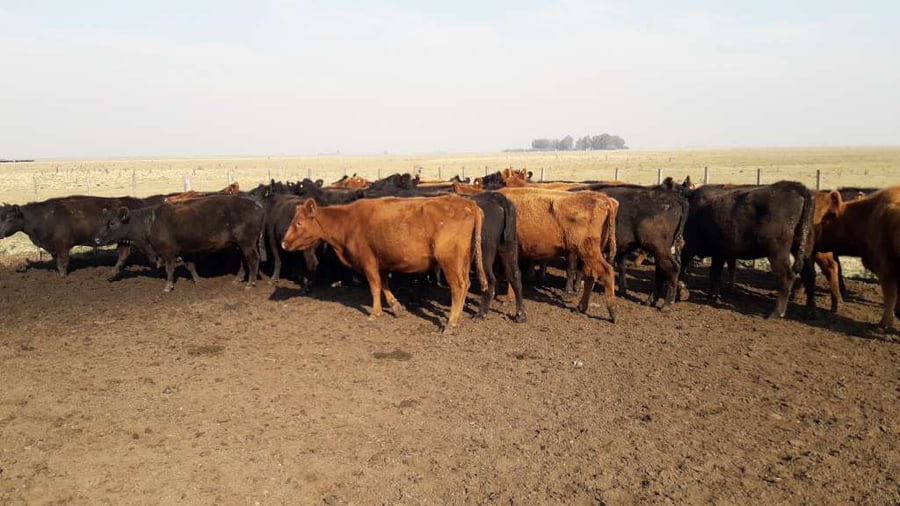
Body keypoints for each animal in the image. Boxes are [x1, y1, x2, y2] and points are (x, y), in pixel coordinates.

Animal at [0, 195, 153, 278]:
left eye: (9, 218)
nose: (0, 233)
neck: (44, 217)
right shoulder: (54, 247)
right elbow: (57, 262)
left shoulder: (62, 245)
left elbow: (62, 263)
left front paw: (63, 277)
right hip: (123, 240)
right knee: (124, 253)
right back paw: (114, 272)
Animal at [93, 195, 265, 292]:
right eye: (103, 222)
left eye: (112, 223)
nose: (97, 239)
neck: (150, 221)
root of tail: (256, 204)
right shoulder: (185, 251)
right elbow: (190, 266)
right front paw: (198, 281)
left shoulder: (168, 252)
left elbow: (169, 269)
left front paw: (168, 287)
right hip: (239, 245)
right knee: (243, 261)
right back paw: (238, 280)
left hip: (247, 243)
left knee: (253, 259)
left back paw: (250, 283)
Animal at [281, 195, 487, 330]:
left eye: (299, 223)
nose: (284, 243)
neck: (347, 222)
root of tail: (469, 204)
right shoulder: (381, 261)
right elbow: (384, 284)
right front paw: (396, 307)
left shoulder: (368, 262)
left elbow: (375, 287)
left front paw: (375, 312)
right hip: (464, 258)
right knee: (466, 284)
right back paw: (458, 318)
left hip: (449, 259)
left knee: (458, 286)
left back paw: (451, 322)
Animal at [497, 187, 618, 322]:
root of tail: (603, 199)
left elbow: (511, 275)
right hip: (588, 254)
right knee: (590, 276)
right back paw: (580, 307)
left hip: (588, 252)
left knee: (606, 272)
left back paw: (612, 312)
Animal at [679, 181, 817, 319]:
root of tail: (795, 187)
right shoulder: (719, 252)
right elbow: (715, 272)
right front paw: (713, 295)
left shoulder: (691, 245)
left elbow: (684, 263)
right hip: (802, 249)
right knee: (809, 276)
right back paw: (809, 311)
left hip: (777, 251)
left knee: (787, 277)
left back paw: (776, 313)